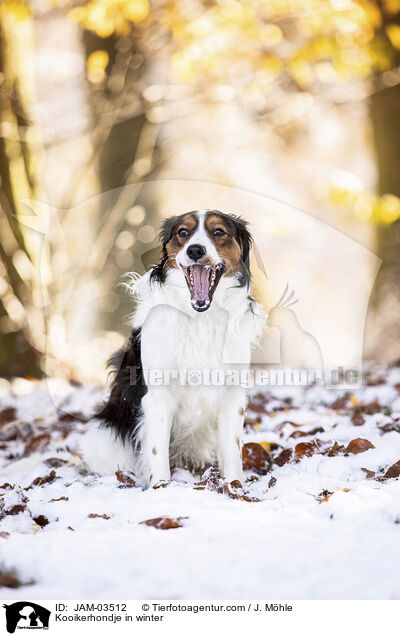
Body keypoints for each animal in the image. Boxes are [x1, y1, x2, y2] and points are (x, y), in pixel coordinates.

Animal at [82, 210, 266, 486]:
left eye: (218, 231)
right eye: (183, 232)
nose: (195, 250)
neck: (200, 318)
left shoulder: (232, 396)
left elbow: (233, 449)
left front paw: (235, 485)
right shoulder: (158, 395)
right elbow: (157, 450)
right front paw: (161, 487)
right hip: (105, 436)